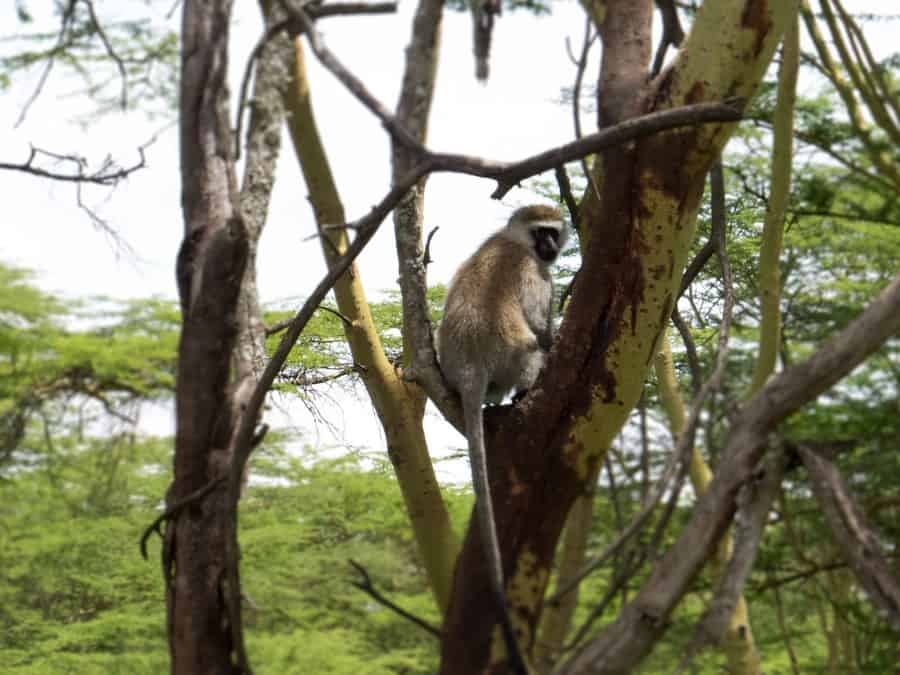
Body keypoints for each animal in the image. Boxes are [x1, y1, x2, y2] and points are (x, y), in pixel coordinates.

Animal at [436, 205, 564, 675]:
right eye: (541, 233)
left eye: (553, 232)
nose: (551, 247)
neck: (513, 241)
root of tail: (470, 368)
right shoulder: (535, 275)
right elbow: (539, 321)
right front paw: (552, 331)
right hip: (512, 356)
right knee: (532, 352)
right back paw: (523, 392)